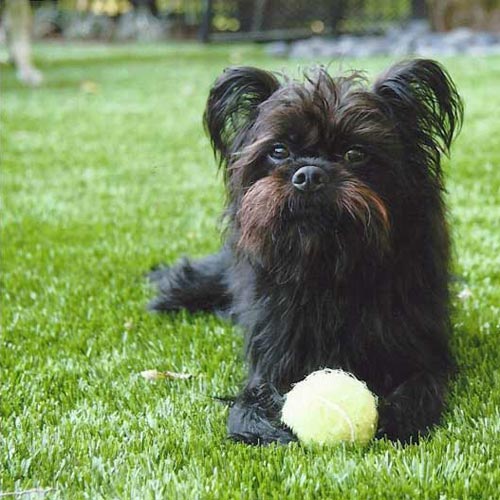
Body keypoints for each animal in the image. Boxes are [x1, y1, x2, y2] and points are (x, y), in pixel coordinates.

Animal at [149, 59, 464, 446]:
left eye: (354, 154)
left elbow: (421, 386)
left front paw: (398, 418)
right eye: (279, 151)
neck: (326, 267)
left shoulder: (422, 352)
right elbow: (251, 396)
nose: (310, 173)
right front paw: (260, 424)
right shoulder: (273, 354)